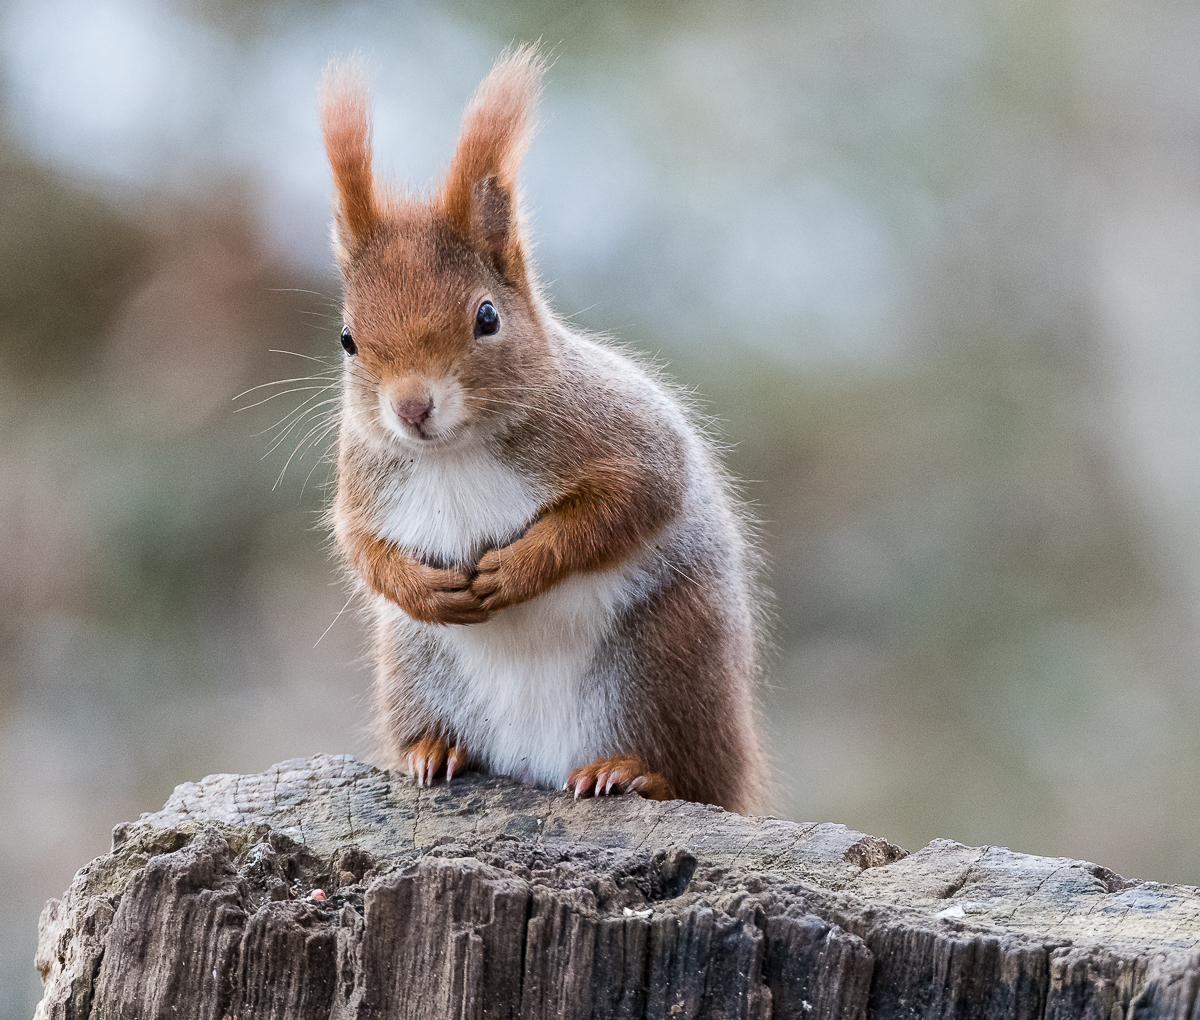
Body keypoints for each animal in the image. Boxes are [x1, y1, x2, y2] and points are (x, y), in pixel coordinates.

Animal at [316, 47, 768, 816]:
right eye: (348, 339)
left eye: (487, 317)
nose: (411, 408)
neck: (456, 453)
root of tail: (538, 764)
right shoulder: (364, 477)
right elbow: (361, 547)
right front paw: (422, 588)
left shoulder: (621, 436)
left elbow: (631, 500)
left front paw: (517, 568)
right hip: (415, 666)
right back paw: (433, 752)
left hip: (670, 658)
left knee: (690, 774)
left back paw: (628, 773)